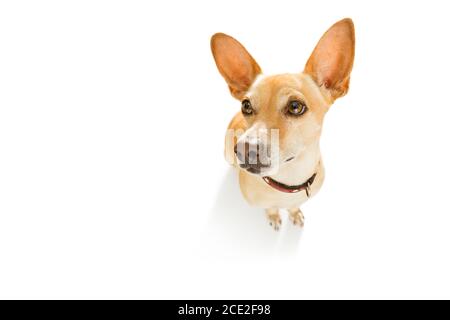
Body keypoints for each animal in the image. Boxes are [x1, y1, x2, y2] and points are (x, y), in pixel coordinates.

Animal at [211, 18, 356, 230]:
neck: (289, 181)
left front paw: (294, 213)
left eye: (295, 106)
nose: (245, 149)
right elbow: (270, 208)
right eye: (246, 105)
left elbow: (293, 207)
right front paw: (273, 215)